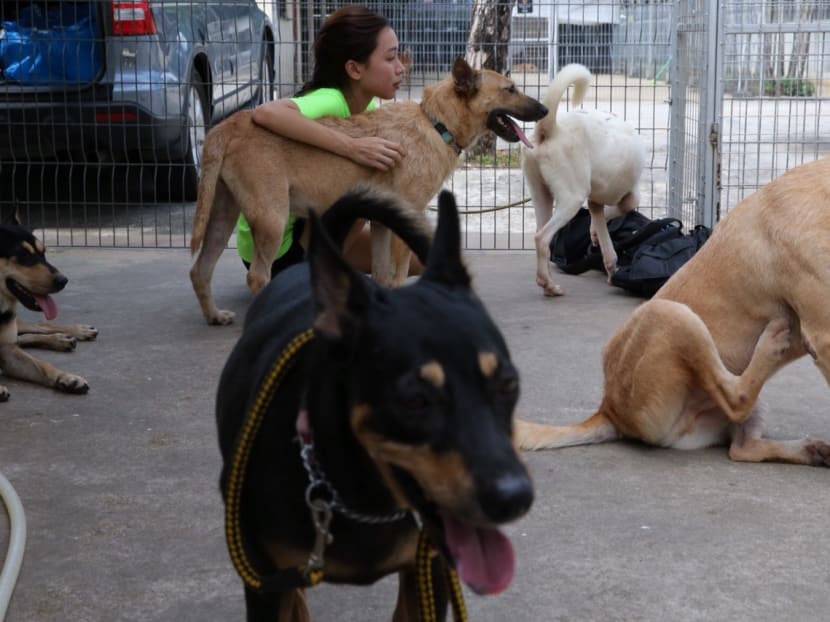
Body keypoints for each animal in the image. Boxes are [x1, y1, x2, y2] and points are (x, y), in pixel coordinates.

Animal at [0, 217, 96, 402]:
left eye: (44, 253)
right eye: (23, 255)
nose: (63, 280)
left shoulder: (7, 351)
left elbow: (42, 365)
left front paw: (66, 377)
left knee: (35, 328)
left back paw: (71, 334)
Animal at [191, 57, 548, 326]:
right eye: (510, 89)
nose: (545, 111)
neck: (435, 125)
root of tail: (232, 123)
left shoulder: (381, 223)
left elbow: (382, 275)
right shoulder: (407, 217)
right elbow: (399, 275)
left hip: (222, 218)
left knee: (200, 270)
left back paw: (214, 316)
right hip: (272, 221)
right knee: (256, 277)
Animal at [218, 188, 536, 620]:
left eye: (508, 385)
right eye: (414, 400)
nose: (515, 498)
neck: (356, 493)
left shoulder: (428, 567)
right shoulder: (263, 582)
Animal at [516, 158, 830, 470]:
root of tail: (610, 411)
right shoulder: (823, 336)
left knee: (742, 448)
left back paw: (811, 451)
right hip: (671, 314)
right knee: (736, 399)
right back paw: (772, 347)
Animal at [524, 63, 648, 298]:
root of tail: (551, 129)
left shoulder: (595, 203)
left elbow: (604, 237)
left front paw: (605, 255)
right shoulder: (629, 196)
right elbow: (622, 208)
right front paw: (596, 235)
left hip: (541, 195)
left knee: (541, 235)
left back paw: (547, 283)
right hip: (572, 198)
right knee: (542, 238)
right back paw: (549, 284)